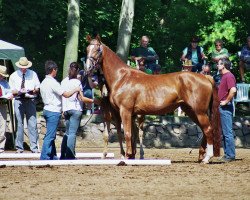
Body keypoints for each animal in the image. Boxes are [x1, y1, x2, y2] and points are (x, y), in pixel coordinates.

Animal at [86, 36, 221, 163]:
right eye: (87, 49)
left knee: (208, 130)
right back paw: (201, 155)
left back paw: (207, 158)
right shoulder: (131, 114)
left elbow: (128, 134)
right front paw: (131, 155)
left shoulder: (125, 111)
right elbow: (132, 134)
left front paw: (128, 156)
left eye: (97, 49)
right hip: (191, 111)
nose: (88, 68)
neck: (122, 78)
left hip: (200, 112)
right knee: (204, 130)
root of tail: (206, 77)